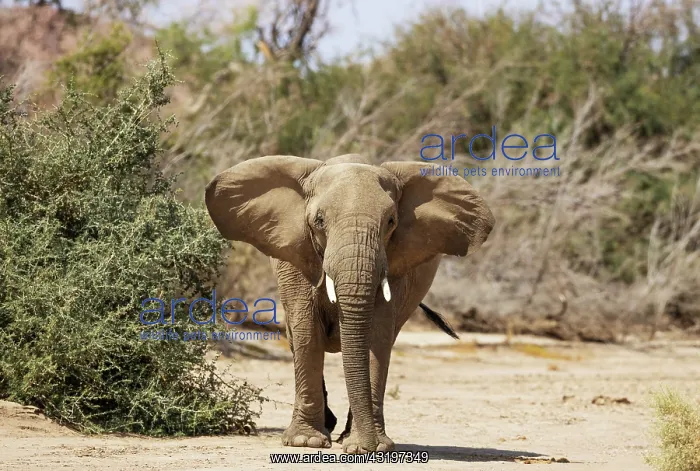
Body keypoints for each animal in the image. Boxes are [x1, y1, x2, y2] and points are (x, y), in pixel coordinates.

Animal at [204, 153, 495, 454]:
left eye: (391, 221)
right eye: (319, 220)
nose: (367, 448)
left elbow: (376, 337)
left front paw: (368, 446)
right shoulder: (295, 258)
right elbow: (307, 332)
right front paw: (306, 442)